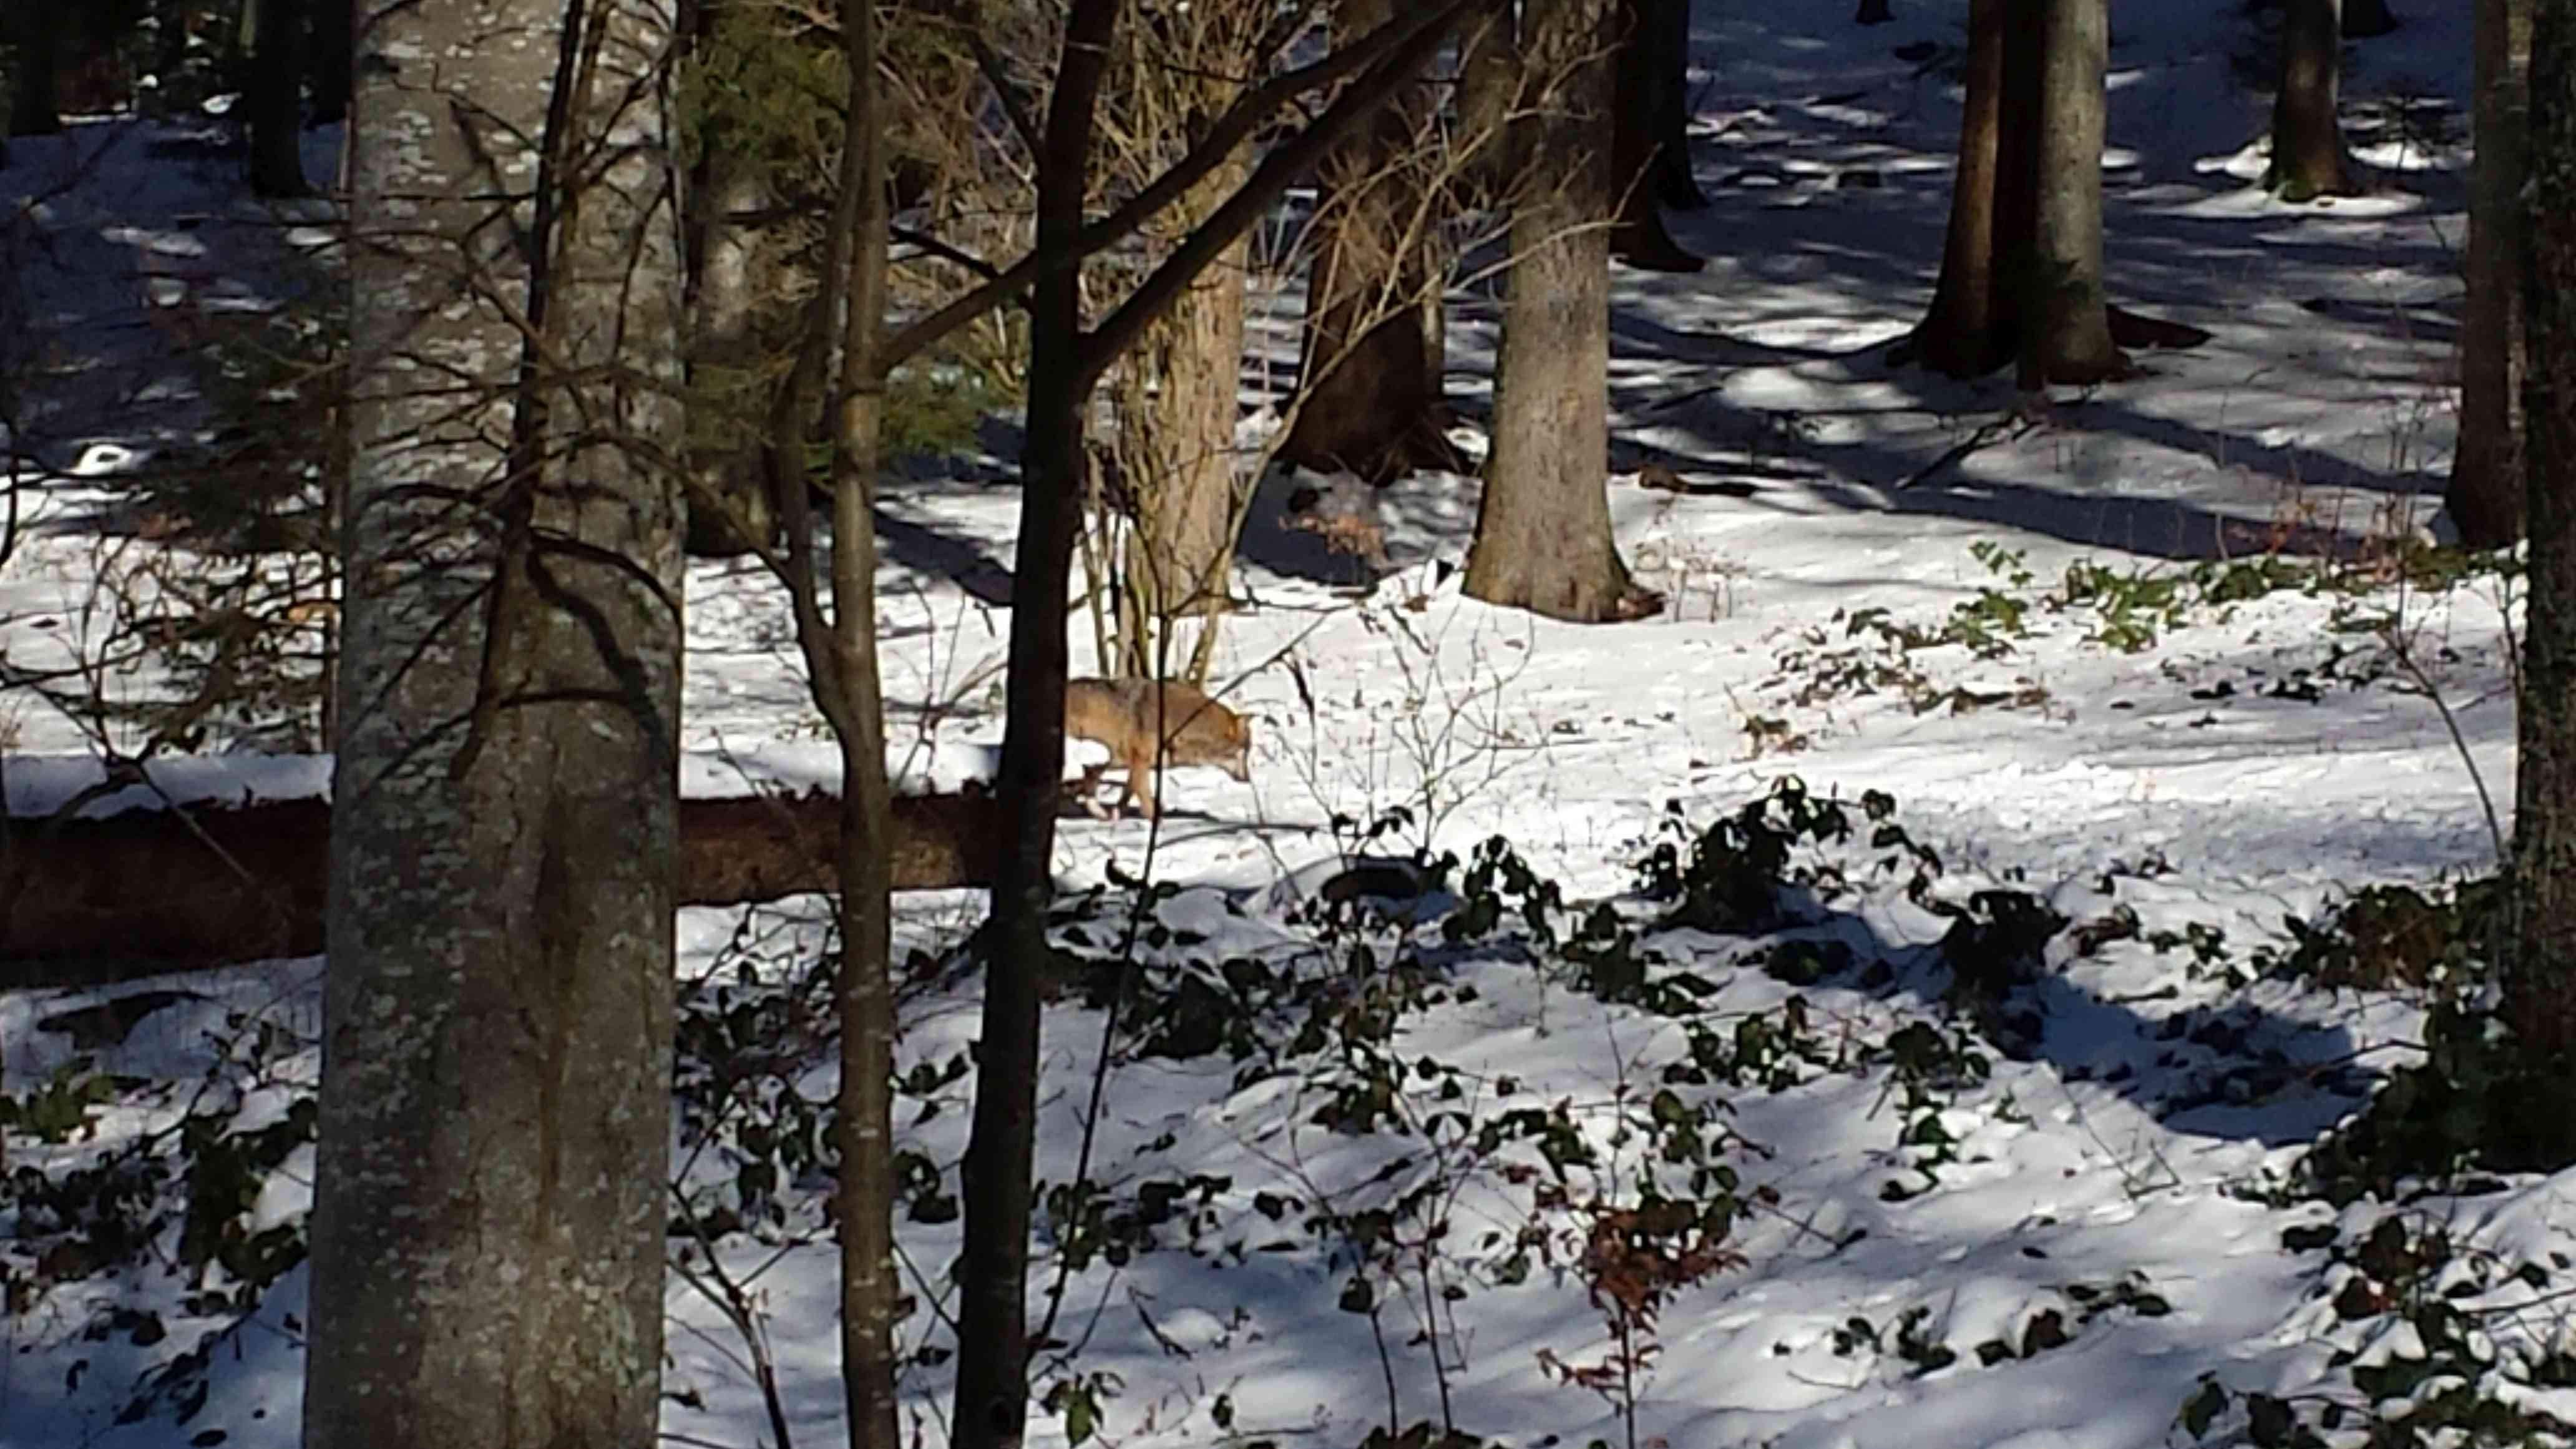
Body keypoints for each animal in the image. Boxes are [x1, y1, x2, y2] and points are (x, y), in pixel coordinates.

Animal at [1063, 676, 1253, 821]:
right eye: (1243, 753)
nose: (1248, 780)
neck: (1178, 725)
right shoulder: (1140, 759)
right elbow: (1143, 792)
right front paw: (1156, 822)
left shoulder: (1130, 765)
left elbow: (1125, 792)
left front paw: (1114, 815)